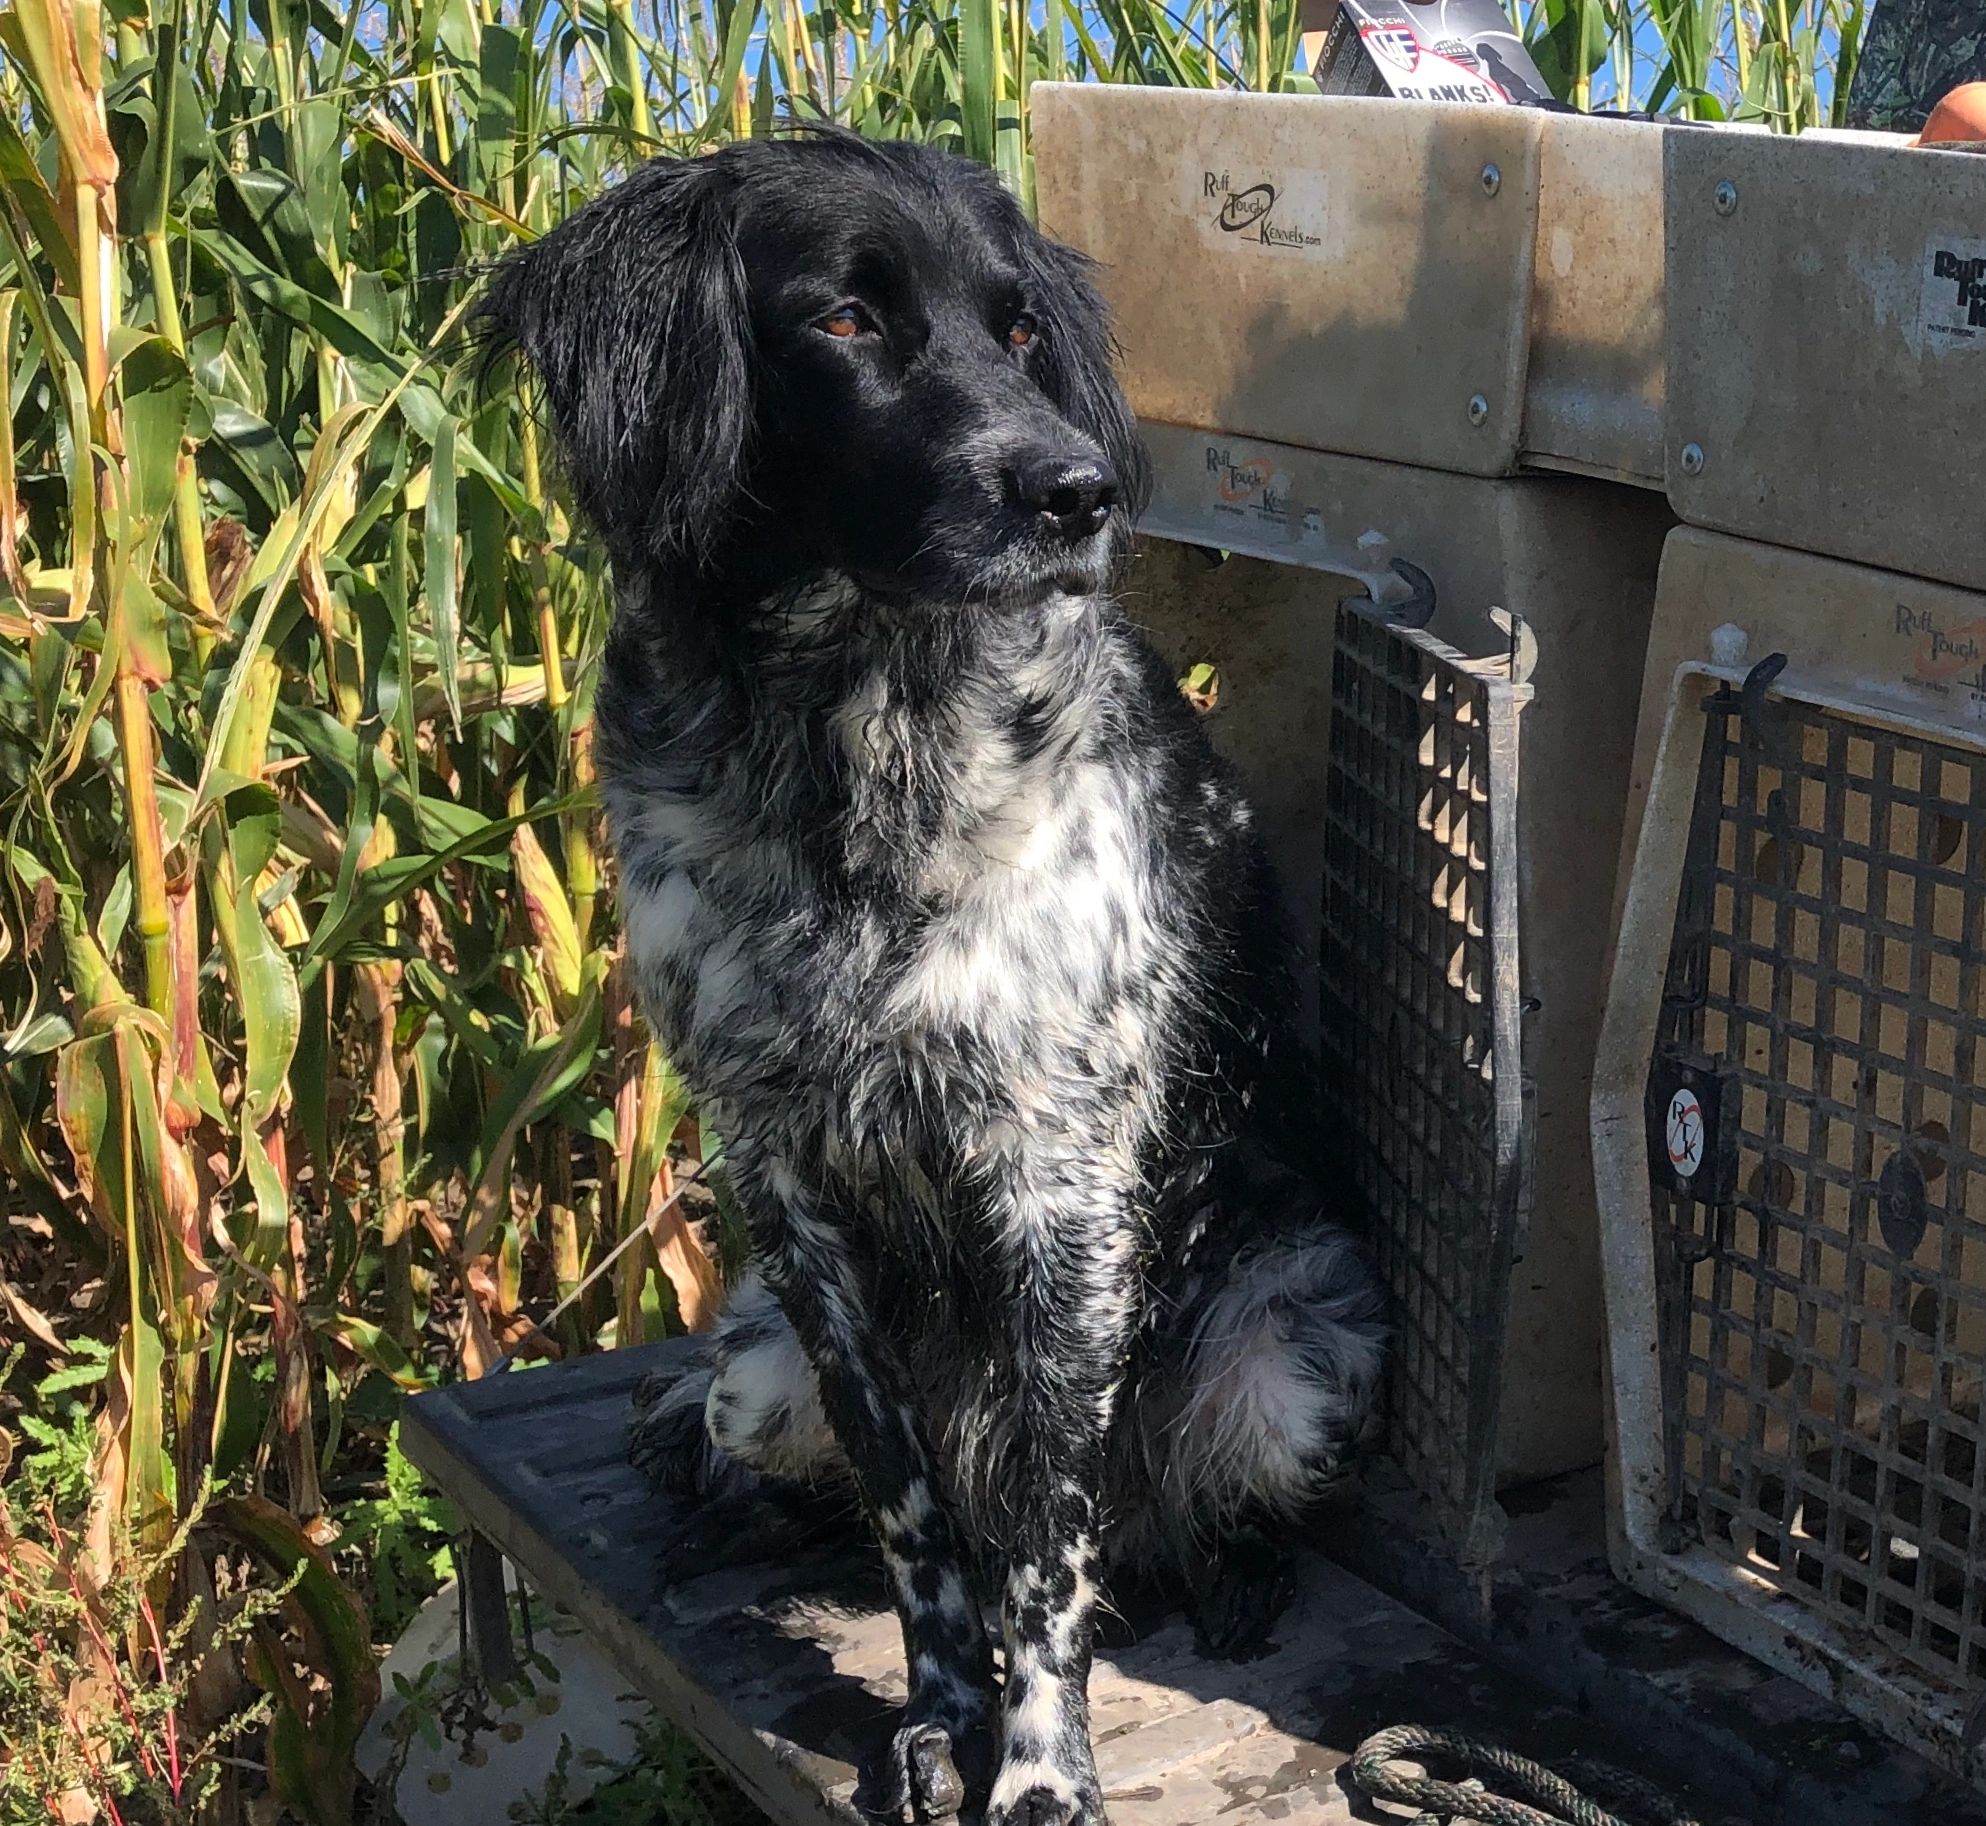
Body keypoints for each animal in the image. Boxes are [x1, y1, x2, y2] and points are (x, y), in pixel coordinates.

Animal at [480, 132, 1382, 1826]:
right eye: (844, 320)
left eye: (1021, 331)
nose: (1077, 490)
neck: (850, 735)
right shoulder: (789, 1188)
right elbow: (916, 1520)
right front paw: (933, 1716)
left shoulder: (1056, 1191)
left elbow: (1040, 1548)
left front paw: (1036, 1770)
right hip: (752, 1371)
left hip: (1292, 1355)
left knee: (1182, 1511)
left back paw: (1228, 1579)